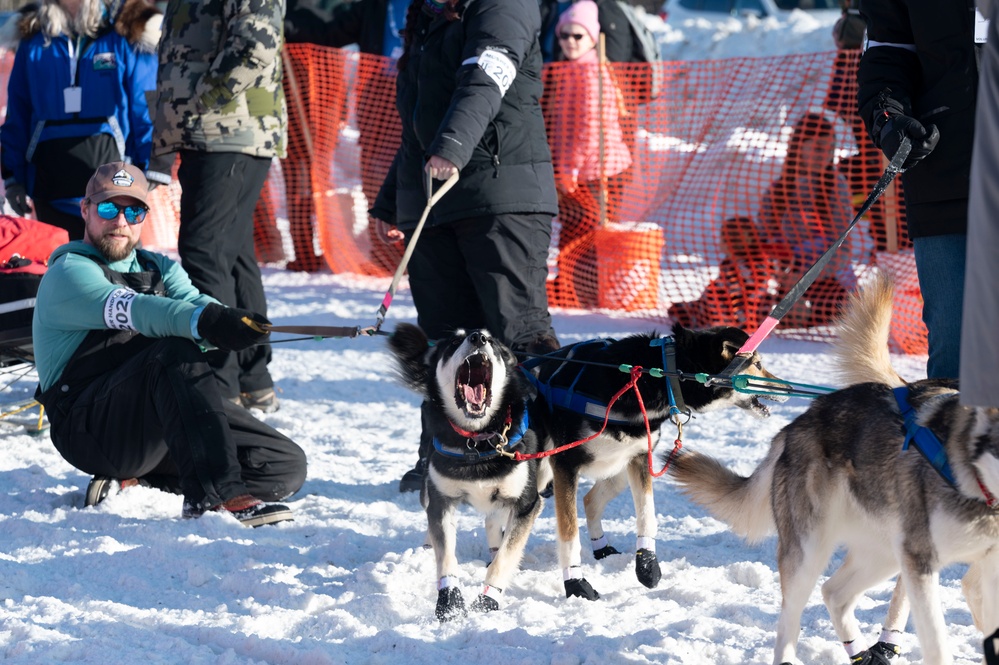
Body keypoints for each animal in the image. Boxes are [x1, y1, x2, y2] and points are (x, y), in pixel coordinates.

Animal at [386, 324, 556, 620]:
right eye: (454, 342)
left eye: (493, 343)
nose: (478, 337)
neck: (477, 439)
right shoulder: (441, 500)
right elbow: (445, 555)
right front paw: (449, 600)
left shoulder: (526, 503)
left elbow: (505, 558)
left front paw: (488, 599)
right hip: (428, 488)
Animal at [528, 324, 784, 600]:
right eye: (757, 365)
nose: (787, 389)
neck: (648, 378)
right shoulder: (565, 466)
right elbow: (569, 532)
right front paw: (575, 582)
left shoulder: (640, 459)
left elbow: (647, 515)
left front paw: (647, 564)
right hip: (540, 472)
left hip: (619, 469)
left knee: (590, 500)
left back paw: (602, 548)